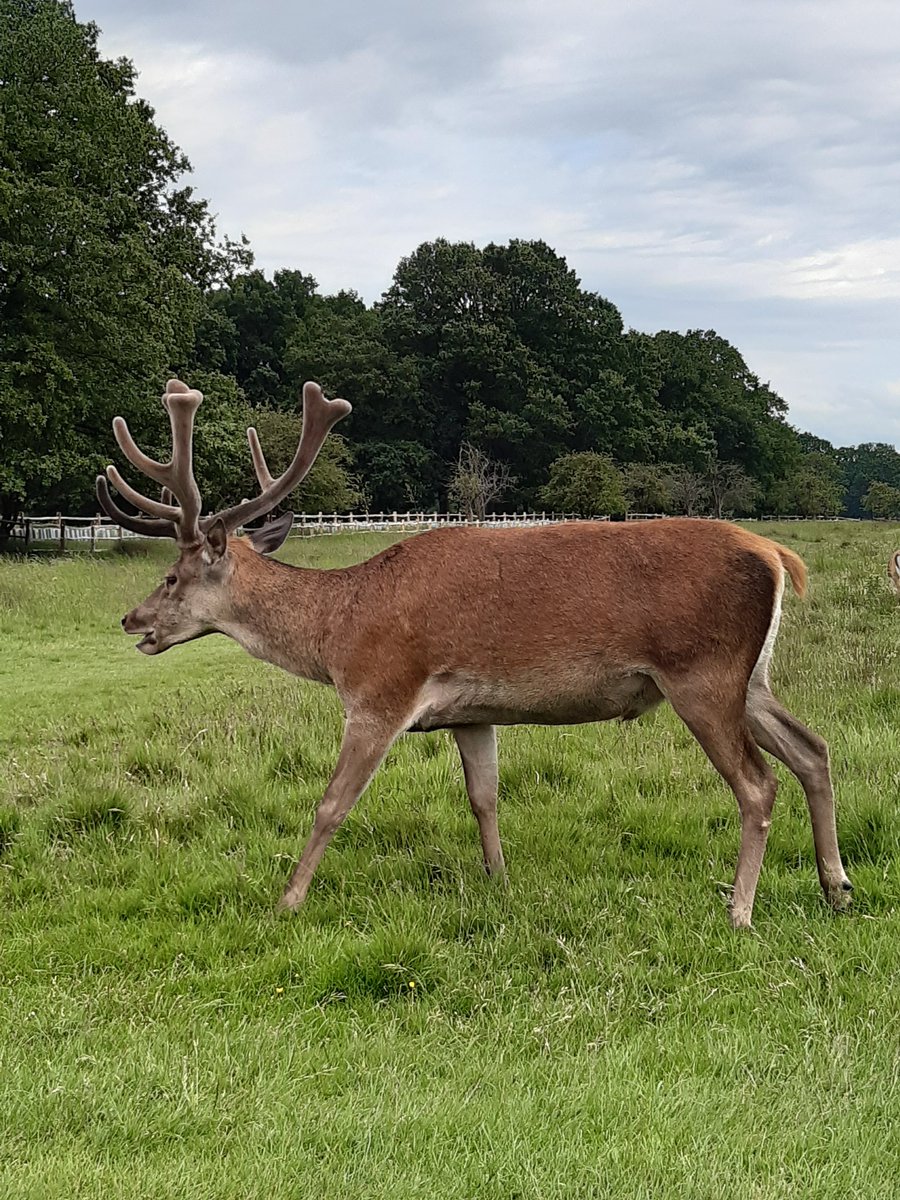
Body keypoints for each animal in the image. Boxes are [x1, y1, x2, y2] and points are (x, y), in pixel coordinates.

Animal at [96, 378, 853, 929]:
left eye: (173, 576)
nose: (132, 619)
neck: (339, 631)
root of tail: (776, 554)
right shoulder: (471, 712)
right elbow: (484, 798)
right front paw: (500, 881)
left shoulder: (380, 690)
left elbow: (332, 804)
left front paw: (285, 901)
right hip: (750, 678)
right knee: (813, 748)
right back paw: (836, 886)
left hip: (702, 674)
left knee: (758, 783)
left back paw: (739, 910)